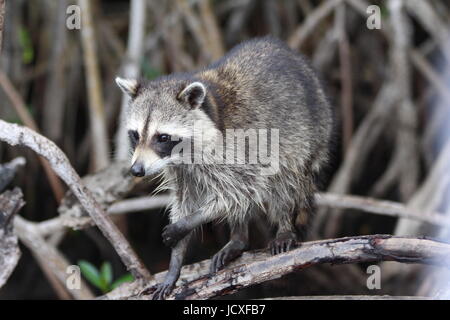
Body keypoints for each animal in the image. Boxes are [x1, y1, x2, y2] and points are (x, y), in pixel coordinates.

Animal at [116, 36, 334, 298]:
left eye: (163, 137)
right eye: (135, 135)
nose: (136, 171)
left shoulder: (239, 149)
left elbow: (240, 191)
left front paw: (186, 224)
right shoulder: (182, 171)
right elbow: (186, 201)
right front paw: (175, 265)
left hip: (309, 133)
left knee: (286, 179)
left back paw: (283, 225)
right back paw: (238, 239)